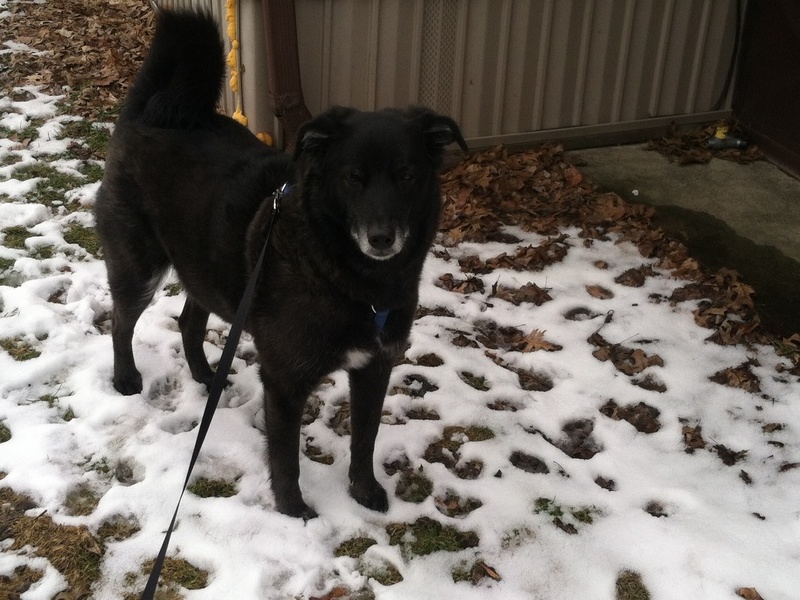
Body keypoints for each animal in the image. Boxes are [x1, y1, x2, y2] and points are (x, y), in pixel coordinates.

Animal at [96, 9, 466, 516]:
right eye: (353, 177)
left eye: (407, 175)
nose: (382, 237)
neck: (344, 273)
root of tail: (150, 109)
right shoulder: (285, 381)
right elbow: (286, 456)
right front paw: (293, 511)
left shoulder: (375, 367)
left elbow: (365, 439)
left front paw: (364, 492)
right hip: (139, 266)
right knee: (121, 321)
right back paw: (126, 378)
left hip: (208, 270)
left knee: (189, 320)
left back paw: (207, 376)